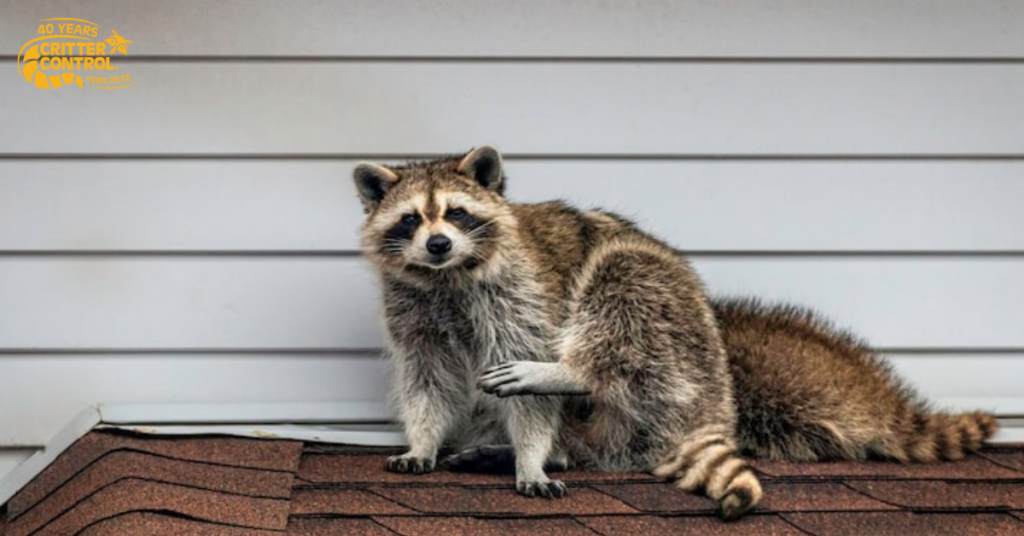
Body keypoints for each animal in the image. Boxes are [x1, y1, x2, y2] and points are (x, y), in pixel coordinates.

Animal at [354, 146, 997, 521]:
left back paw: (572, 379)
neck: (447, 277)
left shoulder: (520, 291)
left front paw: (532, 456)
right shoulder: (411, 306)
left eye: (457, 213)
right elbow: (428, 378)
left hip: (670, 326)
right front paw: (425, 440)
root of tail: (715, 398)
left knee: (621, 282)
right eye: (411, 220)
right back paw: (542, 450)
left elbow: (528, 374)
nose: (439, 243)